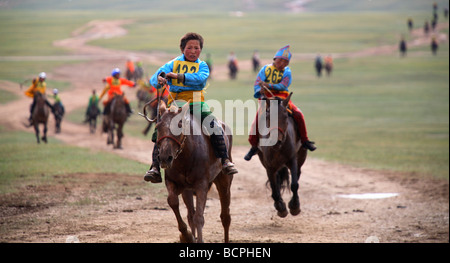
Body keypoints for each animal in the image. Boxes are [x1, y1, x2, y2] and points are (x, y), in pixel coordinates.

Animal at [144, 101, 234, 243]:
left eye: (179, 125)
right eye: (158, 126)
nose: (164, 157)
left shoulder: (201, 185)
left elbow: (199, 217)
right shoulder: (173, 182)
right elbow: (173, 201)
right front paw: (186, 235)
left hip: (224, 182)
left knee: (225, 216)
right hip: (187, 190)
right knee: (190, 215)